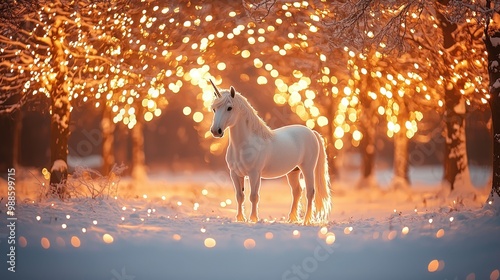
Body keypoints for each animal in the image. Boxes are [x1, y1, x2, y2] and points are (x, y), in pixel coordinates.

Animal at [208, 80, 332, 225]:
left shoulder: (254, 174)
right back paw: (292, 219)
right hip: (293, 172)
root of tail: (311, 132)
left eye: (229, 108)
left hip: (307, 169)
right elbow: (239, 196)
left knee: (310, 192)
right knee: (297, 191)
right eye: (214, 109)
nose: (216, 131)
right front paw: (240, 219)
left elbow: (254, 196)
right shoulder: (235, 174)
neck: (244, 145)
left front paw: (253, 219)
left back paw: (306, 221)